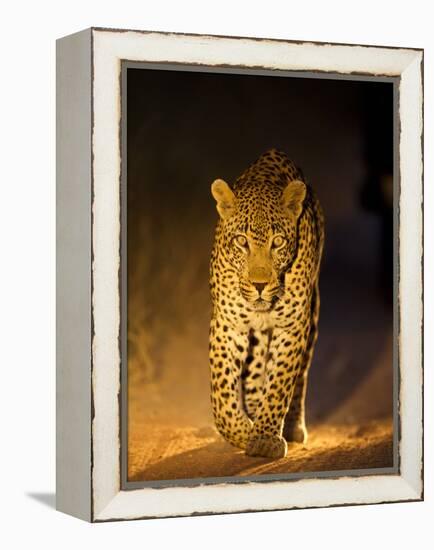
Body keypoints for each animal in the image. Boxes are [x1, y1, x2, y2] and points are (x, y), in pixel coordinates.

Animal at [209, 149, 324, 460]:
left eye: (278, 241)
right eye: (241, 241)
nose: (259, 284)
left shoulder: (292, 327)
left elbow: (280, 384)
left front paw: (264, 439)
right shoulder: (228, 325)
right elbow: (222, 395)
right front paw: (243, 432)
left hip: (312, 316)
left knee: (301, 376)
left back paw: (293, 426)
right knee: (254, 372)